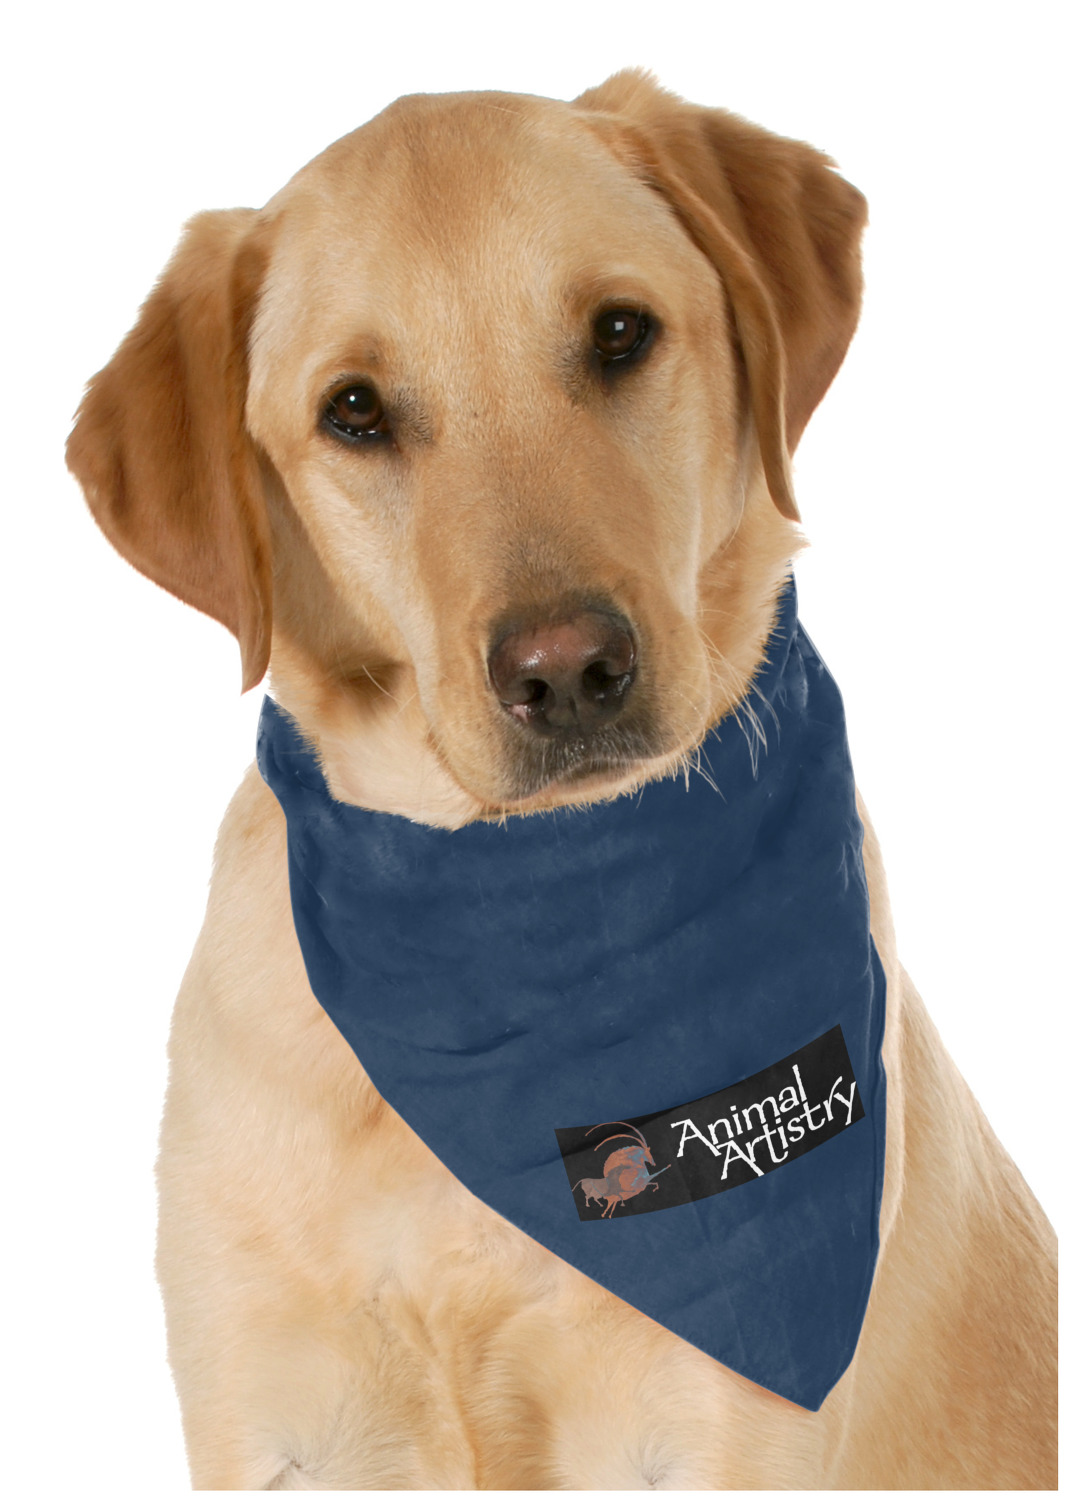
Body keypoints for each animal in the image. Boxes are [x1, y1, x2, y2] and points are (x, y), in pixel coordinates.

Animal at [67, 70, 1057, 1489]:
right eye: (353, 409)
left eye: (619, 332)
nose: (567, 670)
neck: (521, 913)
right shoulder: (268, 1423)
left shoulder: (721, 1437)